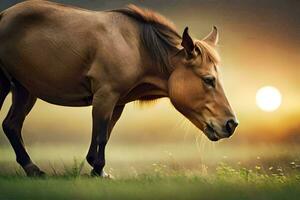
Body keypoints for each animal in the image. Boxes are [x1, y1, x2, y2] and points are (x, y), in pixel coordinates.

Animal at [0, 0, 239, 177]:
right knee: (11, 125)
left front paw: (97, 168)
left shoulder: (117, 102)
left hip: (23, 89)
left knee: (11, 125)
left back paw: (32, 169)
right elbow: (101, 136)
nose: (231, 124)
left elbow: (104, 133)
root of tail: (4, 15)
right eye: (208, 80)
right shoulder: (105, 95)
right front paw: (98, 171)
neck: (136, 47)